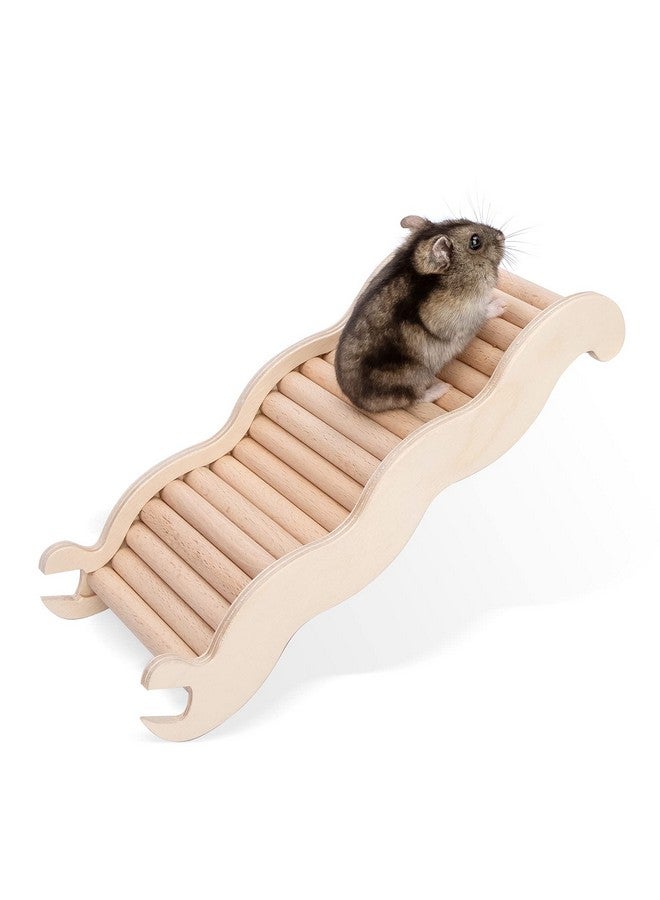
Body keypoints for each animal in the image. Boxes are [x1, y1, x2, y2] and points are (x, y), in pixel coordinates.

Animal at [334, 216, 506, 413]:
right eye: (475, 241)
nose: (502, 235)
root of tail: (357, 402)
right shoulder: (458, 317)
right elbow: (482, 312)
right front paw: (502, 304)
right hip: (414, 375)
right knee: (415, 398)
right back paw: (443, 388)